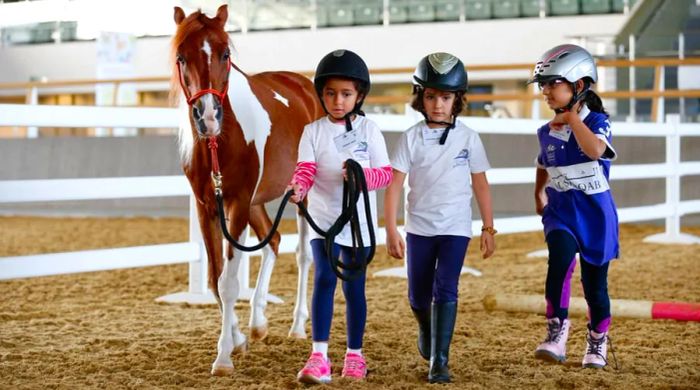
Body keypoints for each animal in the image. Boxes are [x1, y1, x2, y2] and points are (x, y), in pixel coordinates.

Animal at [171, 3, 324, 374]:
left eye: (225, 54)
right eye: (181, 56)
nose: (208, 117)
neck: (219, 143)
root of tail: (304, 86)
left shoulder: (236, 205)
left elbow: (229, 282)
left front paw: (224, 355)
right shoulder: (208, 207)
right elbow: (215, 278)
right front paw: (239, 338)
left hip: (302, 196)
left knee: (303, 254)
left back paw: (297, 326)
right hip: (257, 202)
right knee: (273, 240)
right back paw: (258, 322)